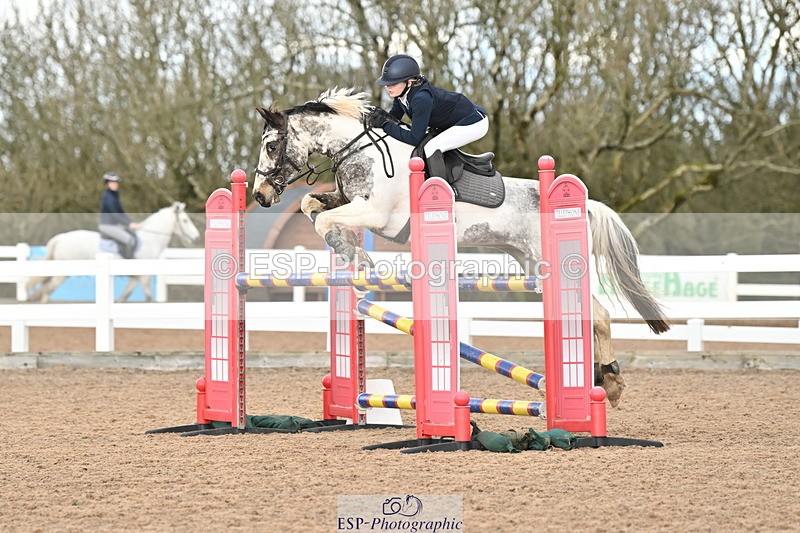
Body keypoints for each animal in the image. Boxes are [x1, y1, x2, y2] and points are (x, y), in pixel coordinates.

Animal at [26, 202, 201, 303]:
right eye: (185, 220)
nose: (197, 237)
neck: (151, 239)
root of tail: (60, 238)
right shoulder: (143, 276)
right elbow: (148, 296)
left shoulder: (136, 277)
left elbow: (125, 295)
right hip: (62, 274)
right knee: (47, 291)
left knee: (45, 288)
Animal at [251, 88, 670, 406]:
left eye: (271, 146)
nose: (259, 195)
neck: (361, 152)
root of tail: (583, 204)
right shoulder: (346, 201)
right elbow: (312, 206)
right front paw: (353, 254)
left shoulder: (376, 214)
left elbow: (325, 222)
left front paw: (359, 258)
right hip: (530, 262)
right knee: (592, 315)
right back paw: (603, 383)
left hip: (555, 263)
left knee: (597, 315)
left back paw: (607, 385)